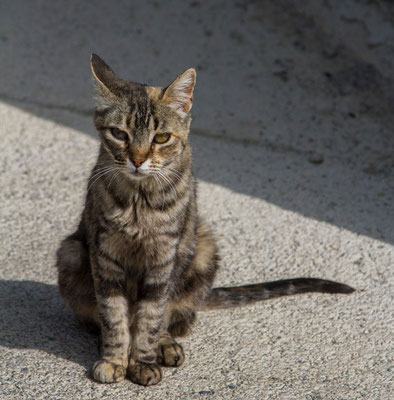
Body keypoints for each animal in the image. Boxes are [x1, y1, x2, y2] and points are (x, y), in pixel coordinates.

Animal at [57, 54, 356, 388]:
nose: (137, 160)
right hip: (71, 252)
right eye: (120, 134)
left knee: (171, 318)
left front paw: (143, 362)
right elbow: (113, 316)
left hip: (203, 248)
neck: (139, 203)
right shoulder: (105, 256)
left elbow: (151, 317)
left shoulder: (164, 261)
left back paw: (166, 345)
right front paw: (113, 360)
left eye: (161, 138)